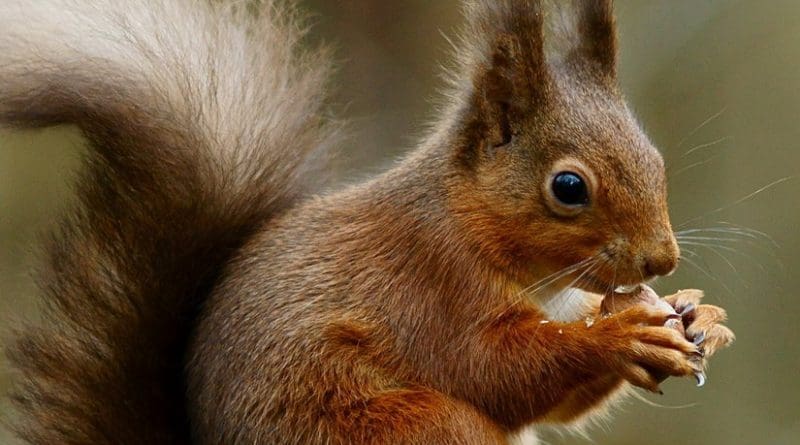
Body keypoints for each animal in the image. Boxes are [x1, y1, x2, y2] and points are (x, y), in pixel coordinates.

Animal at [0, 0, 736, 444]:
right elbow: (492, 370)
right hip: (416, 425)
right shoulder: (429, 284)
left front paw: (697, 313)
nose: (662, 259)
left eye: (654, 158)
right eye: (569, 187)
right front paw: (621, 335)